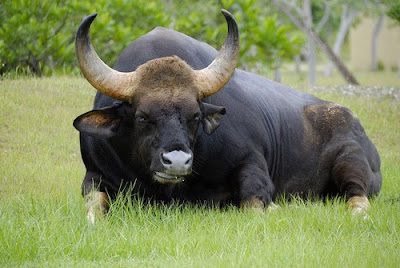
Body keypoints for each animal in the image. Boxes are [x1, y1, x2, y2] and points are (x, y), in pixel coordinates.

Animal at [72, 9, 382, 222]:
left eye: (195, 116)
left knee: (357, 196)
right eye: (142, 117)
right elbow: (93, 210)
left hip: (351, 162)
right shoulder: (94, 176)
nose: (177, 161)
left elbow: (253, 204)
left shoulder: (252, 165)